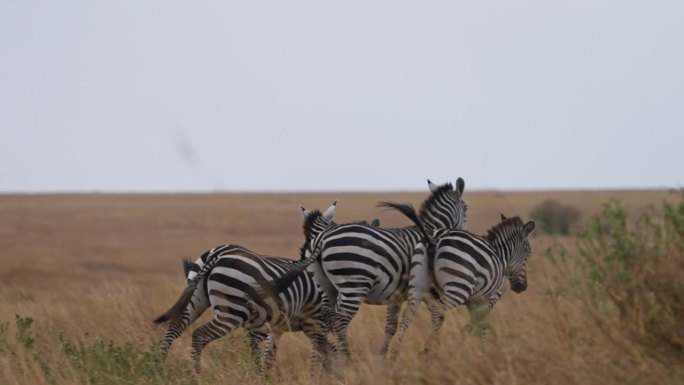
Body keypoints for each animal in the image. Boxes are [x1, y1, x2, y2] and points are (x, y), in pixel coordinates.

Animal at [154, 202, 338, 376]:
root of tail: (217, 254)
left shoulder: (280, 327)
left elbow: (271, 356)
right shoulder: (315, 323)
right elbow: (322, 354)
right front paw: (323, 376)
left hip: (196, 298)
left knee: (173, 328)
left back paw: (159, 367)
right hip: (232, 312)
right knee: (200, 335)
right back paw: (196, 375)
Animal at [260, 179, 464, 356]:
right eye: (466, 209)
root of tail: (321, 241)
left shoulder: (399, 294)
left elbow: (393, 325)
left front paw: (384, 357)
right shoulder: (422, 288)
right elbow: (435, 317)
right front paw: (427, 352)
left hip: (326, 289)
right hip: (353, 285)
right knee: (338, 322)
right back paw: (346, 359)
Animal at [380, 200, 536, 358]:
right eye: (528, 254)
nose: (522, 287)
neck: (500, 255)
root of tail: (433, 240)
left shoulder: (474, 301)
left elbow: (479, 325)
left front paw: (482, 353)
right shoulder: (490, 298)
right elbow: (477, 325)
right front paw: (476, 353)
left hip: (417, 284)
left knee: (408, 314)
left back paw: (395, 354)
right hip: (459, 288)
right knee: (437, 311)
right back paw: (427, 350)